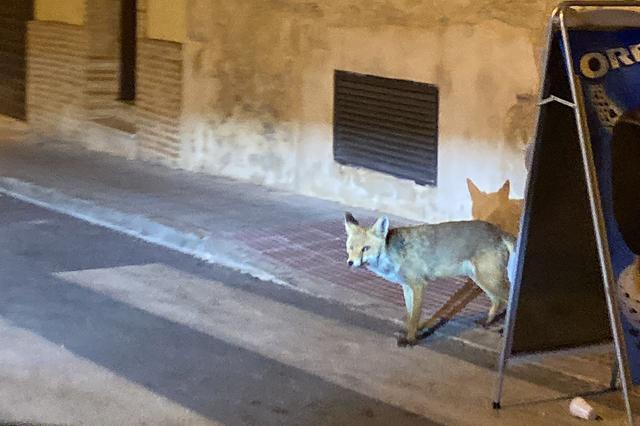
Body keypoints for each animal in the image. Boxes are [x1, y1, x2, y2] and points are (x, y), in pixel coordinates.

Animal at [344, 213, 516, 346]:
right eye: (351, 247)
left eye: (365, 248)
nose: (350, 263)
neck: (392, 255)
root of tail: (498, 231)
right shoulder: (407, 287)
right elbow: (410, 315)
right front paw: (411, 331)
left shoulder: (419, 285)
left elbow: (415, 316)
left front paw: (411, 340)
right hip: (481, 279)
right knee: (497, 301)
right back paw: (487, 322)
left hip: (489, 279)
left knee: (507, 300)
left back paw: (503, 331)